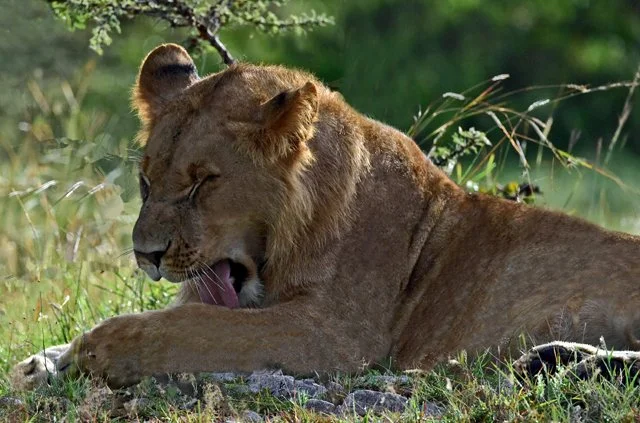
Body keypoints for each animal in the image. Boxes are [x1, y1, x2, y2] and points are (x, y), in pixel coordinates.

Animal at [11, 44, 640, 390]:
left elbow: (188, 326)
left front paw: (91, 350)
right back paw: (556, 359)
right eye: (146, 181)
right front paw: (47, 359)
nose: (146, 256)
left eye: (202, 182)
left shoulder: (333, 335)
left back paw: (561, 361)